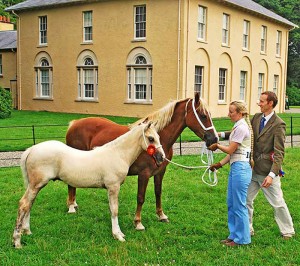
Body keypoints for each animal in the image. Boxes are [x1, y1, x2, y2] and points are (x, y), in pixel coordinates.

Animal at [12, 121, 164, 248]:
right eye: (151, 139)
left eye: (158, 137)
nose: (161, 157)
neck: (117, 154)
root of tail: (31, 150)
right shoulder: (113, 187)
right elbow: (114, 210)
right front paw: (118, 235)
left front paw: (119, 233)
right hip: (36, 185)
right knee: (24, 204)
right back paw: (17, 241)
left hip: (35, 186)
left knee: (29, 205)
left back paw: (27, 231)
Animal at [65, 93, 217, 231]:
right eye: (203, 115)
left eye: (209, 114)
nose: (214, 139)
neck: (158, 139)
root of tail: (74, 124)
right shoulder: (144, 174)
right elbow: (140, 197)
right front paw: (138, 222)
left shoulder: (160, 172)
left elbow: (158, 192)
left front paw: (161, 215)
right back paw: (71, 206)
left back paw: (74, 204)